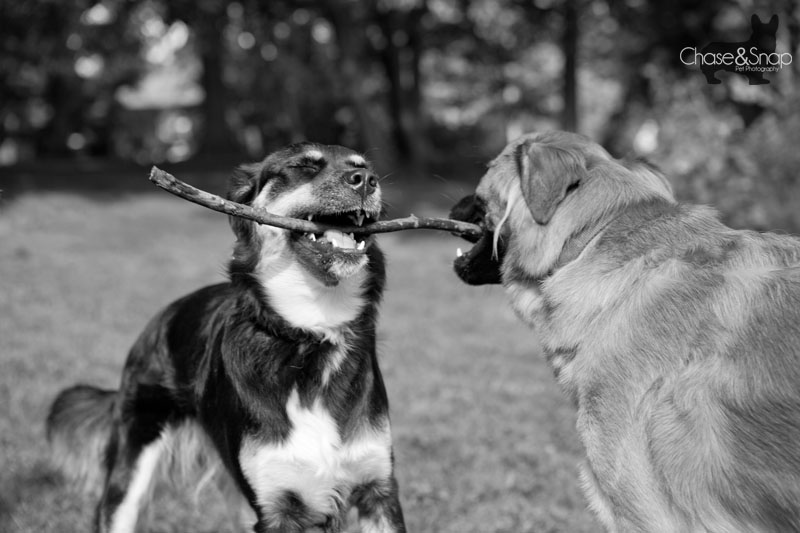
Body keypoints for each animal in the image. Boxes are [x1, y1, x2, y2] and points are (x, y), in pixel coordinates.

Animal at [47, 142, 406, 532]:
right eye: (303, 166)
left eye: (364, 167)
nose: (366, 181)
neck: (310, 335)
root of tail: (160, 319)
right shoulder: (276, 507)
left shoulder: (378, 491)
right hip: (133, 459)